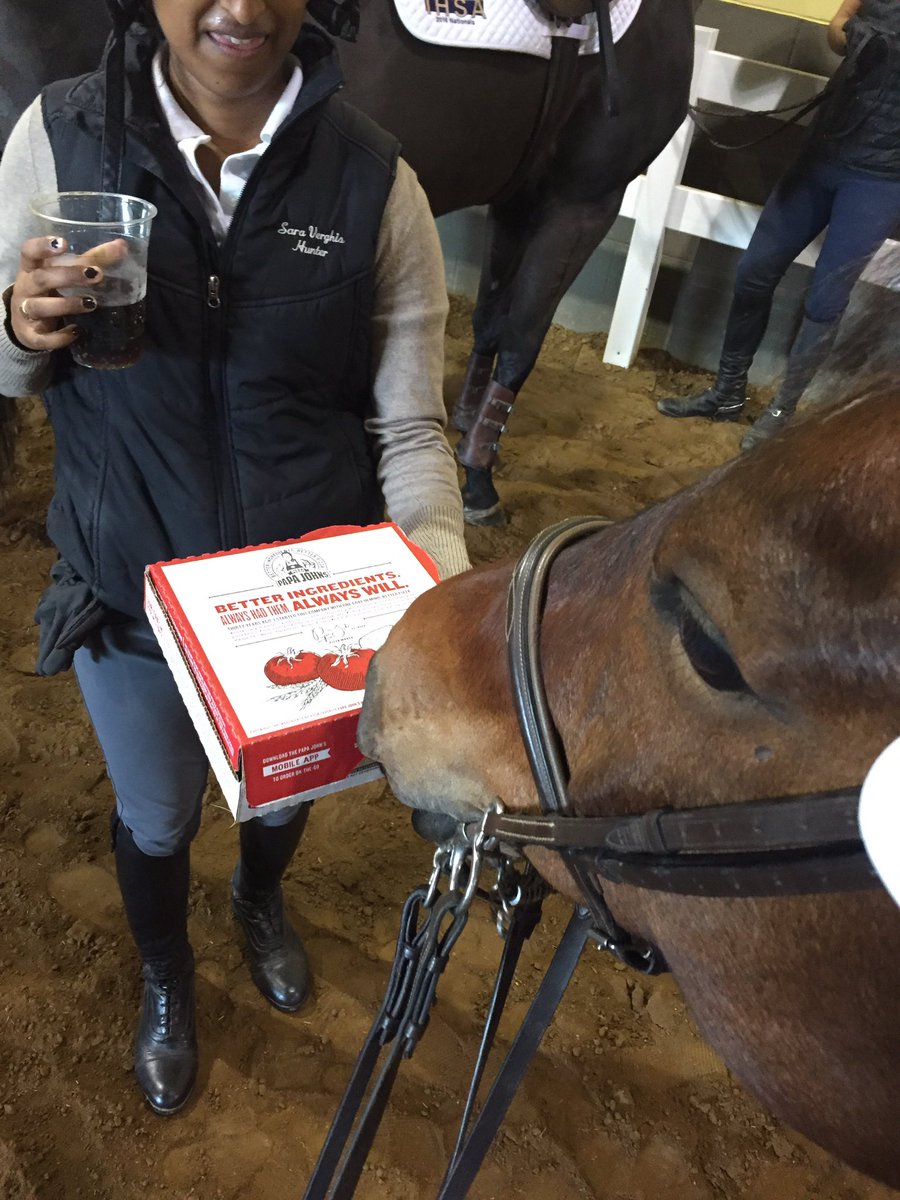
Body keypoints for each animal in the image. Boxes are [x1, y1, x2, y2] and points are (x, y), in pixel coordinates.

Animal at [0, 0, 697, 522]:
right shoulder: (586, 199)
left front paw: (465, 434)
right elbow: (523, 339)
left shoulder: (524, 195)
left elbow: (493, 324)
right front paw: (479, 480)